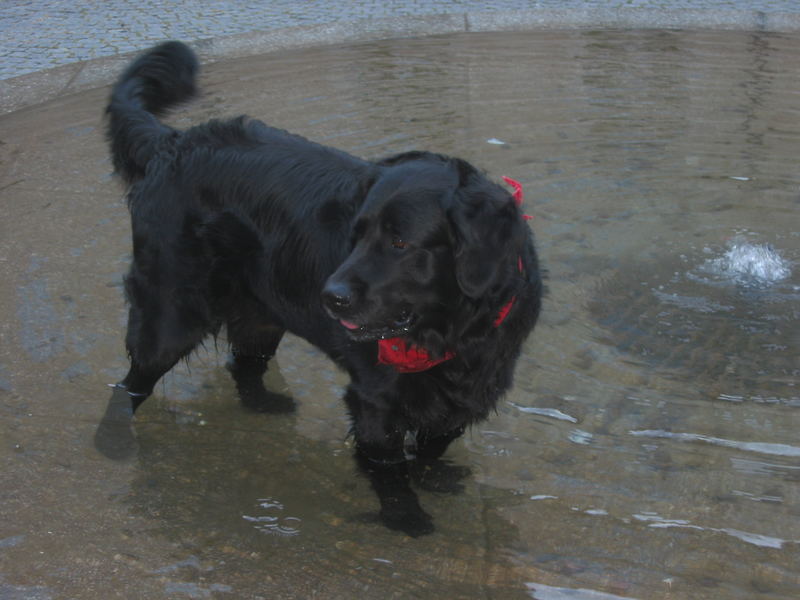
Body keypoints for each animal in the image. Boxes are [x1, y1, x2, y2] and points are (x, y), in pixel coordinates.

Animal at [98, 43, 536, 540]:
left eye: (400, 243)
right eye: (356, 235)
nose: (331, 297)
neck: (451, 330)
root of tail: (172, 142)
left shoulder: (468, 392)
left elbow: (431, 449)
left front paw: (436, 478)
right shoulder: (373, 403)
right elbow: (391, 473)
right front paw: (406, 517)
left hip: (261, 309)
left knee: (243, 362)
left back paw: (263, 403)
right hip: (170, 310)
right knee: (131, 382)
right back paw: (113, 440)